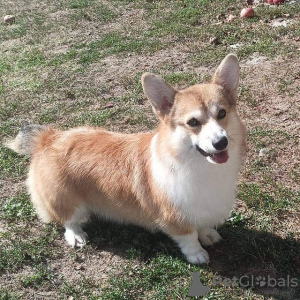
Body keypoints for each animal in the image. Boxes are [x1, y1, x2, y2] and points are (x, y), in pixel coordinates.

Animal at [6, 54, 246, 264]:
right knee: (68, 219)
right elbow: (189, 237)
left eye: (222, 113)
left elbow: (202, 224)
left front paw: (208, 234)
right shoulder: (174, 217)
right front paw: (197, 254)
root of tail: (48, 139)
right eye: (193, 122)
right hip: (64, 198)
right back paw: (76, 235)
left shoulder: (203, 206)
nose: (221, 142)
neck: (198, 165)